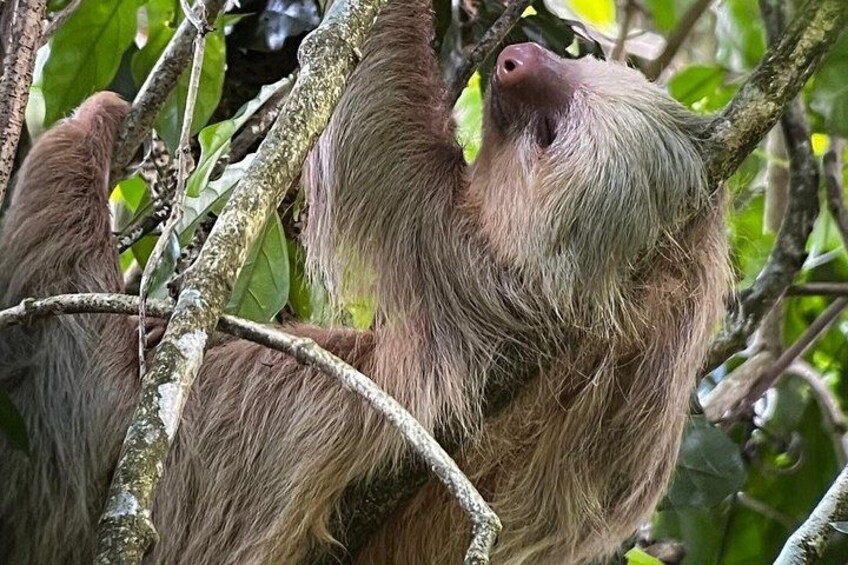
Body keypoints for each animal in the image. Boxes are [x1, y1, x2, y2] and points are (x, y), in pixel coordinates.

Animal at [0, 0, 729, 563]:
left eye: (549, 134)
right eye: (579, 69)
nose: (519, 60)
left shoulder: (464, 283)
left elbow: (371, 127)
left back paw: (92, 124)